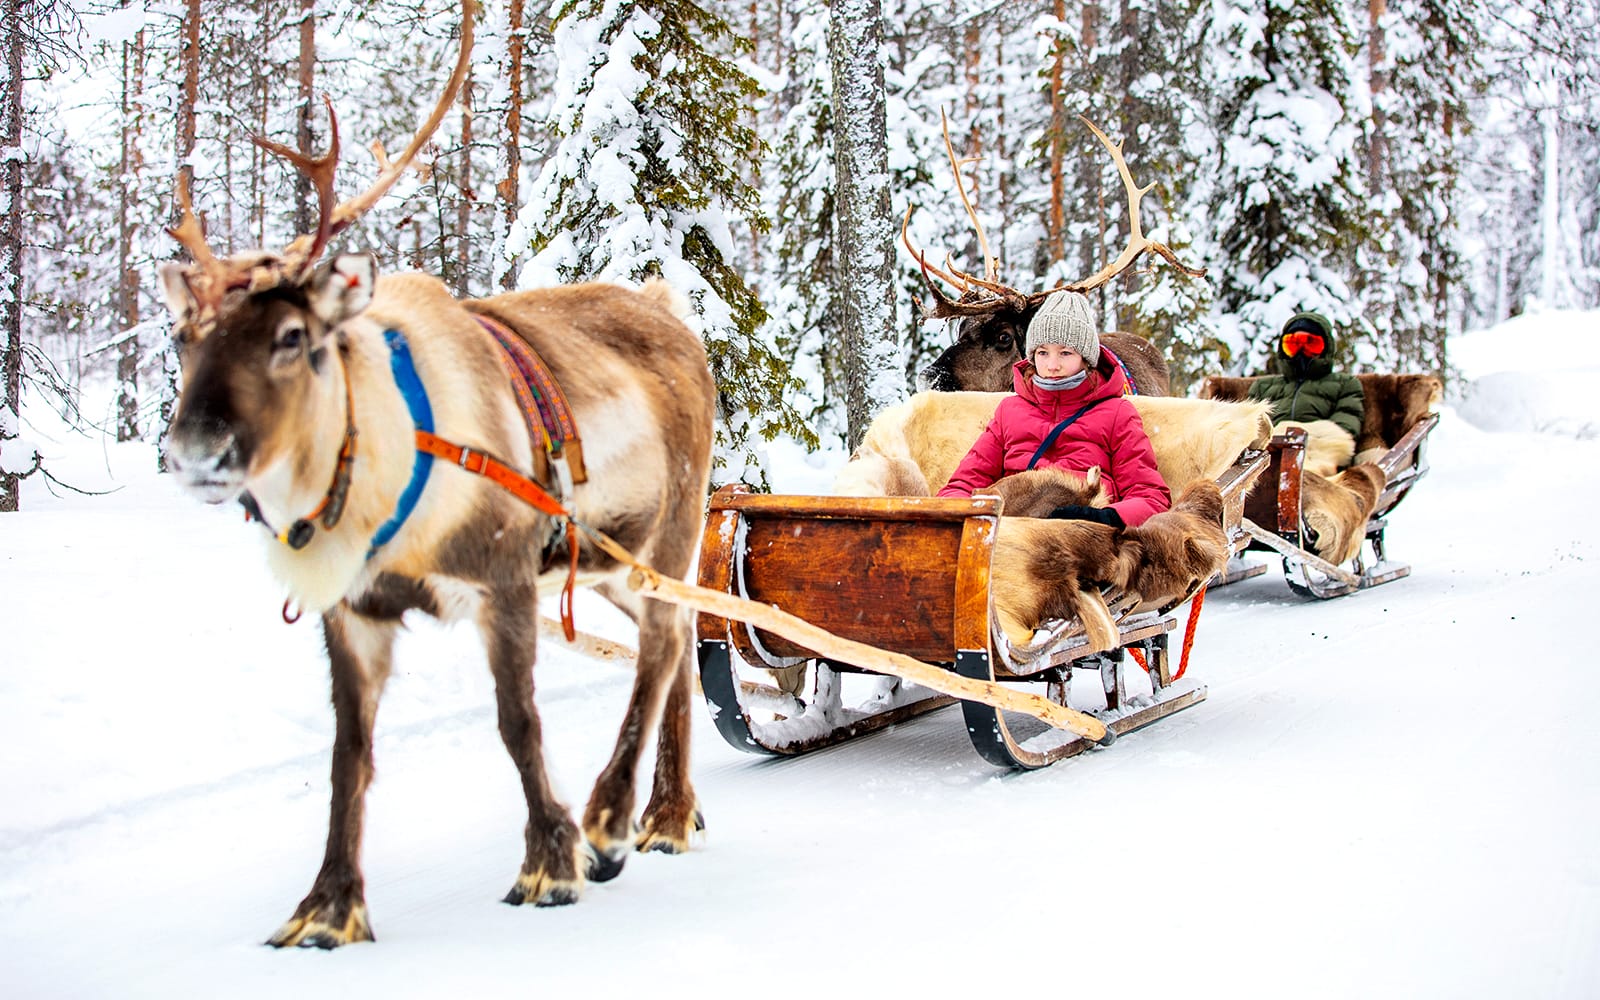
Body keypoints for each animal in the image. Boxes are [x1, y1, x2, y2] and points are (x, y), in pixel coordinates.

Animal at [157, 0, 714, 948]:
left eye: (292, 337)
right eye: (183, 336)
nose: (197, 452)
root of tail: (669, 309)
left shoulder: (503, 579)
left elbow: (518, 722)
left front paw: (552, 860)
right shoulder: (352, 614)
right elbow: (348, 758)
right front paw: (327, 908)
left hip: (671, 526)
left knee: (668, 642)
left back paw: (612, 819)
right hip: (610, 564)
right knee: (673, 644)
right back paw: (668, 814)